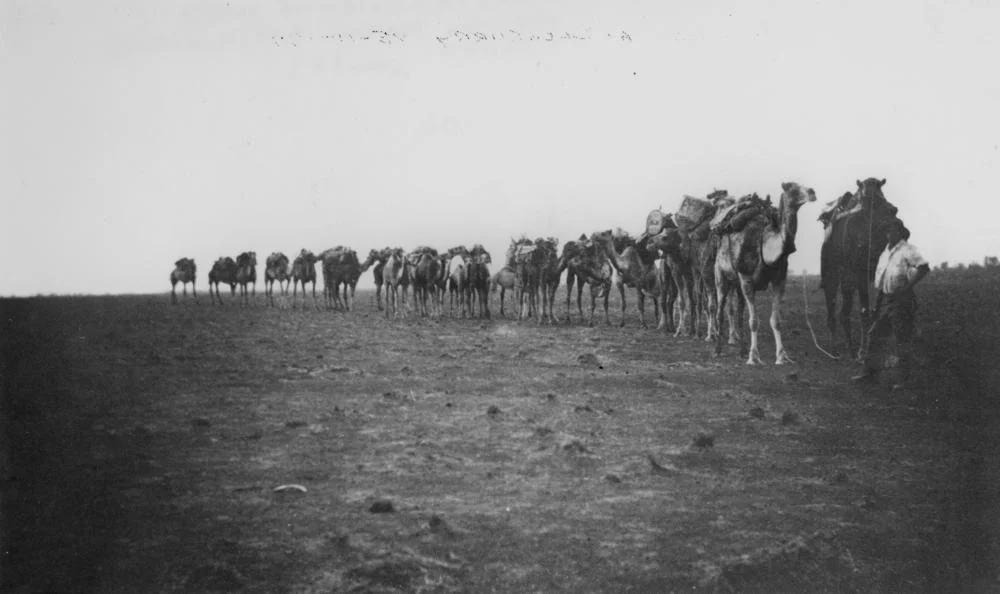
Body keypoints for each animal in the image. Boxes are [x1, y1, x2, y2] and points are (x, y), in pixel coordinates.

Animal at [714, 181, 816, 365]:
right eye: (792, 187)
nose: (812, 192)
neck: (765, 246)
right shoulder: (747, 280)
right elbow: (754, 321)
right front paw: (753, 357)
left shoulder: (779, 280)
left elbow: (776, 321)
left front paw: (780, 357)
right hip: (720, 275)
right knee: (720, 311)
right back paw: (718, 351)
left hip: (737, 284)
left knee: (739, 314)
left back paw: (742, 351)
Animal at [819, 178, 899, 357]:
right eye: (865, 199)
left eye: (881, 196)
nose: (893, 209)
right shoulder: (860, 275)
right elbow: (864, 311)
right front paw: (863, 353)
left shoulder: (876, 275)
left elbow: (875, 311)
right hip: (833, 276)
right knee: (832, 311)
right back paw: (834, 350)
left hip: (848, 283)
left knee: (844, 313)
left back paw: (850, 349)